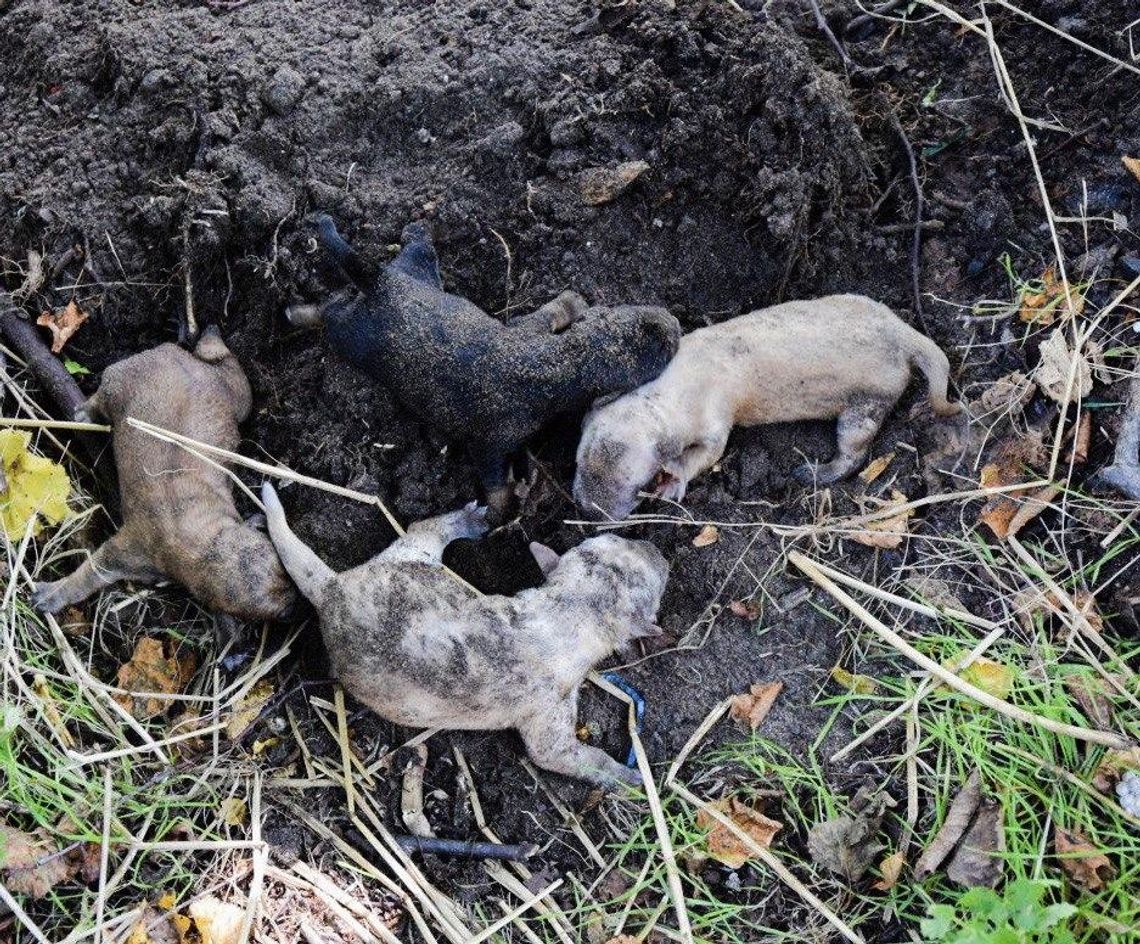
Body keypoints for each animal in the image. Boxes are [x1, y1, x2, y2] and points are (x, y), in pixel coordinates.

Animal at [261, 483, 665, 784]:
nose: (657, 549)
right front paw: (628, 779)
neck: (571, 610)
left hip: (405, 560)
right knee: (421, 531)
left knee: (420, 534)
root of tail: (332, 588)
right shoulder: (551, 706)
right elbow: (561, 755)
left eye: (617, 542)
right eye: (657, 584)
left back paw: (462, 521)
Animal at [289, 215, 679, 515]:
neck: (557, 363)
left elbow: (549, 313)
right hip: (352, 337)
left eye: (629, 312)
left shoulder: (528, 329)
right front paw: (499, 514)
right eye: (661, 353)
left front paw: (570, 302)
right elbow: (495, 483)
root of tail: (380, 285)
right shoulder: (491, 442)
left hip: (410, 275)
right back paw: (301, 313)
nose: (673, 322)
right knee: (329, 314)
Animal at [574, 294, 957, 519]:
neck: (666, 394)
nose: (588, 512)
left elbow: (710, 453)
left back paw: (815, 472)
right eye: (578, 464)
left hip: (868, 399)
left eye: (637, 484)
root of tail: (904, 335)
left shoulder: (716, 416)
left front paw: (674, 479)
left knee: (855, 450)